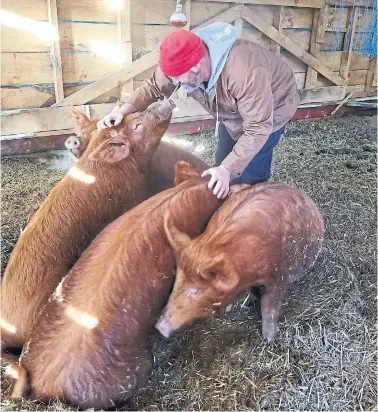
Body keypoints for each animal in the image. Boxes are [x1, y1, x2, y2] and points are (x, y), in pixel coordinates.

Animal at [157, 183, 324, 342]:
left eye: (195, 291)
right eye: (176, 283)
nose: (159, 327)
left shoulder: (279, 274)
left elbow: (268, 304)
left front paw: (269, 339)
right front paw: (228, 309)